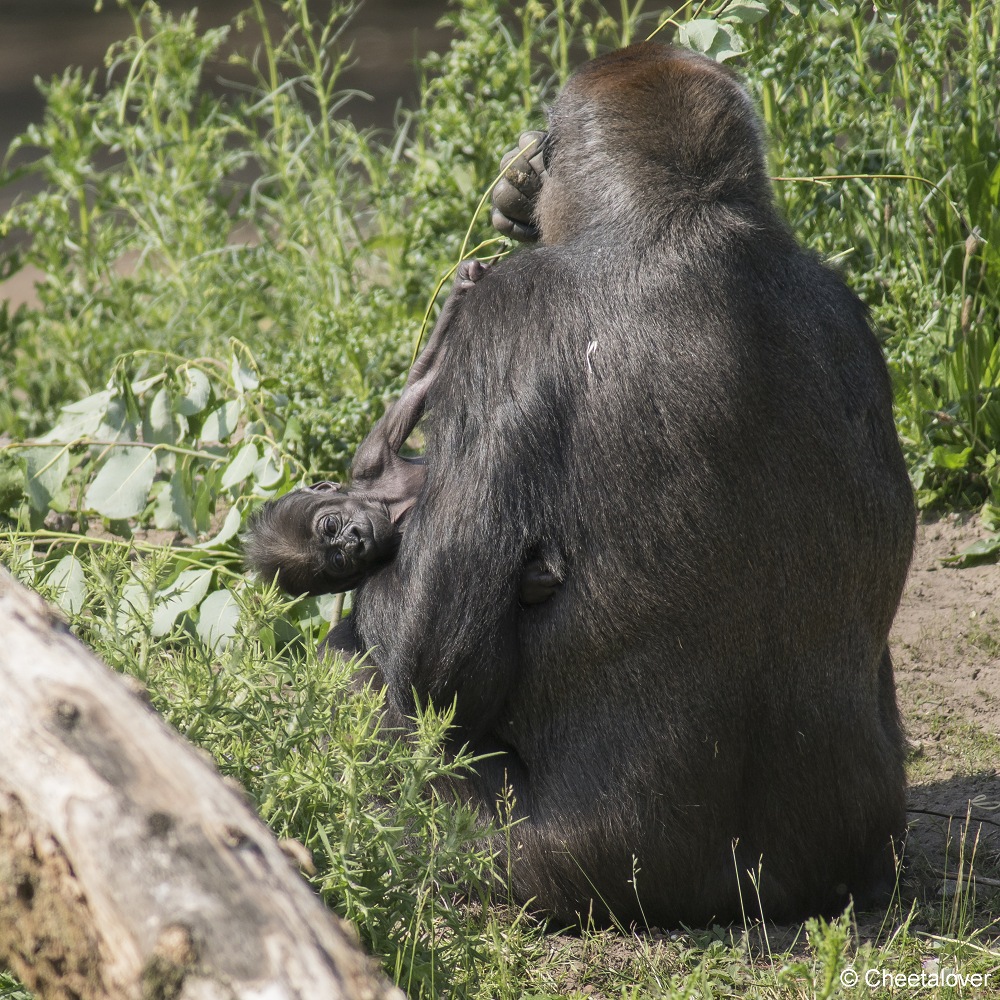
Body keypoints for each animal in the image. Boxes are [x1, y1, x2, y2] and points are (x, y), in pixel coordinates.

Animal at [244, 262, 564, 600]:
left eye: (331, 526)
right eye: (339, 560)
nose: (351, 540)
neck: (385, 507)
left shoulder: (369, 460)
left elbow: (419, 382)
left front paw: (462, 285)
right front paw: (529, 583)